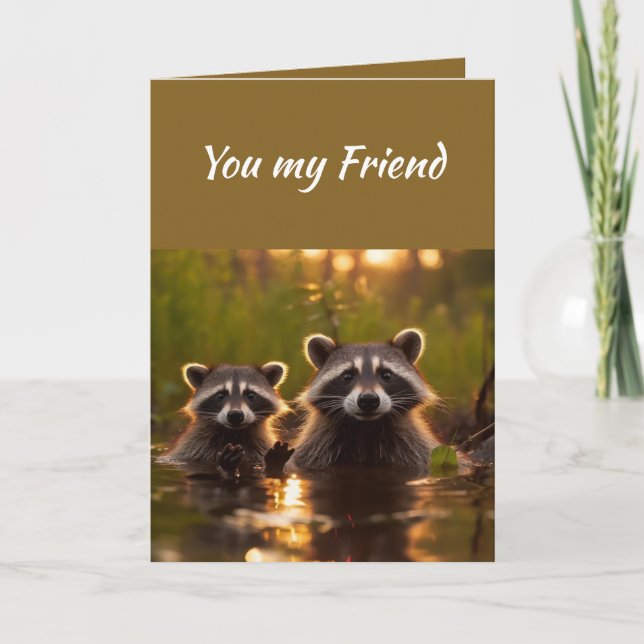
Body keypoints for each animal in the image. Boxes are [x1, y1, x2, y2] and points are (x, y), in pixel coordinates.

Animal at [290, 328, 437, 470]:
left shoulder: (412, 446)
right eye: (347, 376)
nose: (368, 399)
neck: (366, 428)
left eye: (386, 375)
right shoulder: (316, 447)